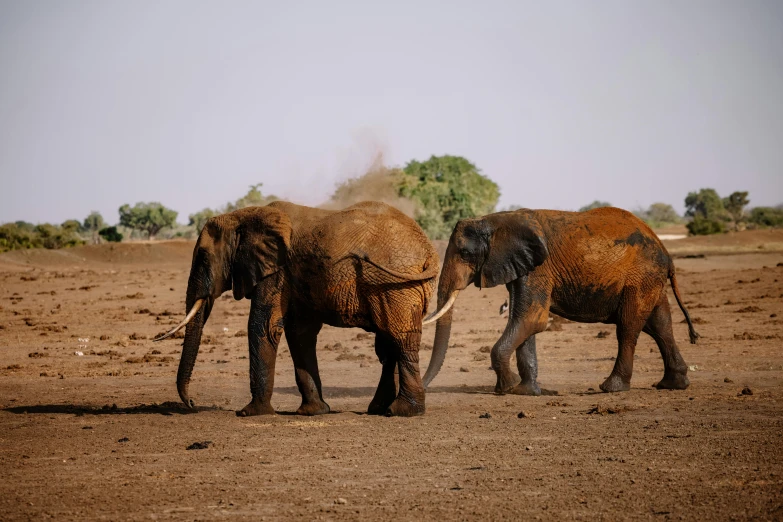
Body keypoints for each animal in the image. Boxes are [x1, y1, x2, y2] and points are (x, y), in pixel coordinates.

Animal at [155, 199, 438, 414]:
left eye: (203, 258)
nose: (192, 403)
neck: (244, 215)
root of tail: (429, 250)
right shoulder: (294, 276)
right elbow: (300, 334)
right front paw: (313, 412)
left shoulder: (277, 271)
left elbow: (262, 326)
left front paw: (249, 413)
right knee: (388, 342)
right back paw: (379, 409)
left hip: (394, 285)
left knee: (400, 339)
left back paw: (403, 411)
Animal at [420, 205, 700, 392]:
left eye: (465, 253)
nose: (422, 386)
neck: (495, 220)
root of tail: (665, 251)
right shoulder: (522, 267)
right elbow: (526, 323)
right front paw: (527, 391)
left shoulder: (538, 269)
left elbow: (530, 320)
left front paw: (507, 388)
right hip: (649, 280)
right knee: (660, 324)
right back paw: (673, 384)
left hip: (640, 278)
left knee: (628, 327)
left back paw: (611, 387)